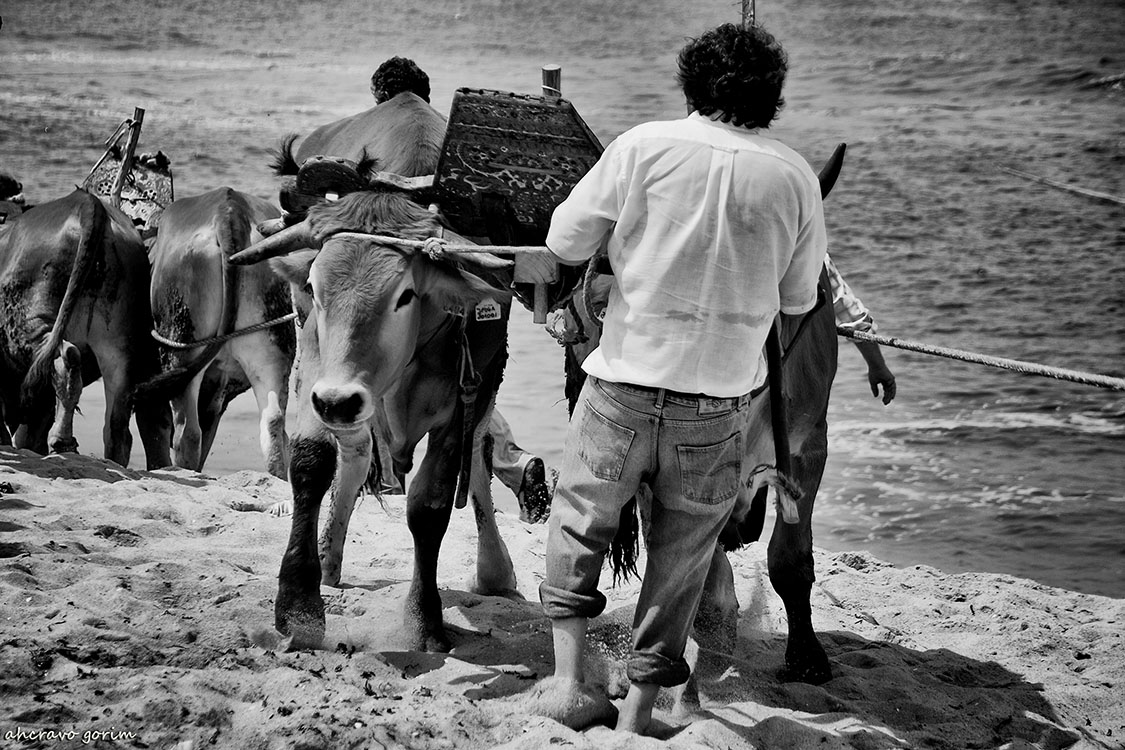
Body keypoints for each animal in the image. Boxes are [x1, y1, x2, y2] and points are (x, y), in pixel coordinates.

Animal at [0, 188, 171, 469]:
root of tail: (87, 203)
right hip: (118, 344)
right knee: (117, 426)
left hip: (28, 325)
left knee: (64, 358)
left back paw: (62, 440)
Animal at [232, 190, 519, 652]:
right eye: (313, 288)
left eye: (405, 296)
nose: (339, 400)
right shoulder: (316, 375)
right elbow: (310, 468)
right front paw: (298, 607)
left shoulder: (461, 403)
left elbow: (430, 505)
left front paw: (424, 620)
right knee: (356, 455)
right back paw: (329, 558)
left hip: (481, 393)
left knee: (477, 454)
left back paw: (495, 568)